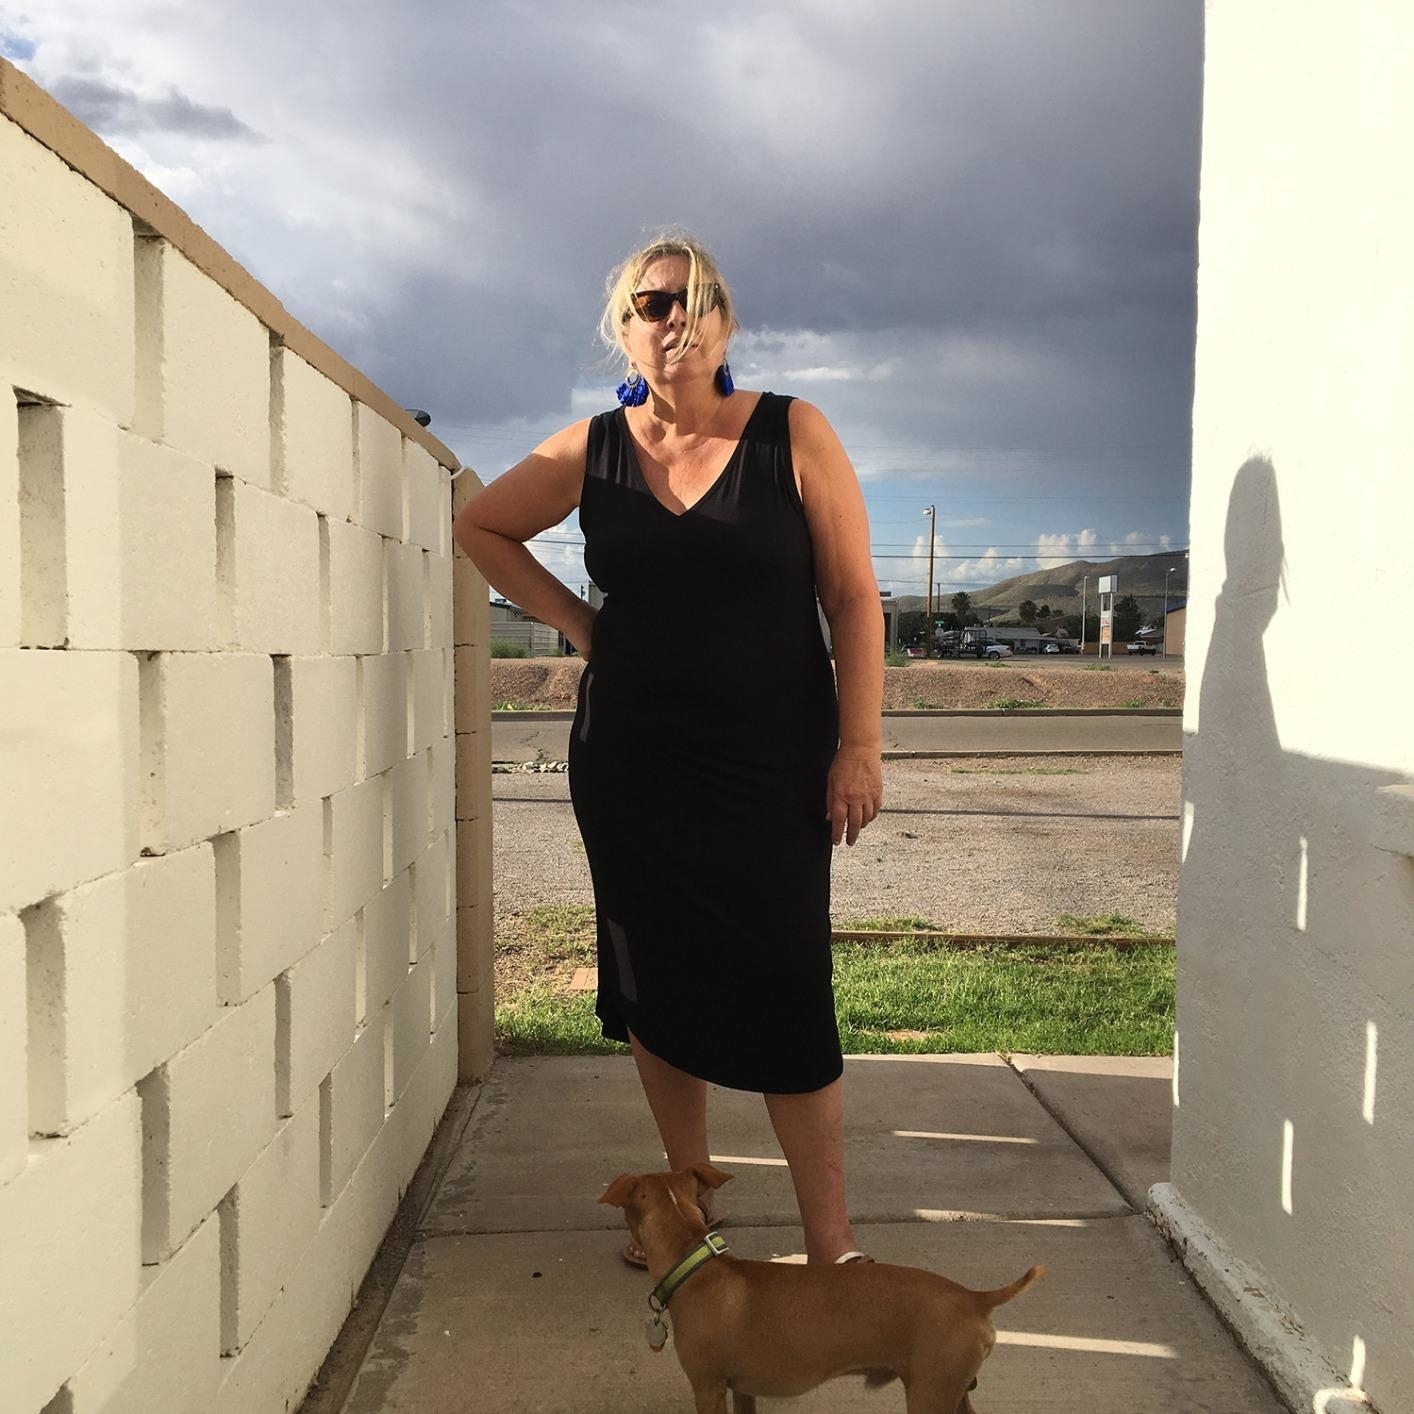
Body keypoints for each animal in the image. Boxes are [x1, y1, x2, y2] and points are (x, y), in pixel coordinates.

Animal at [602, 1165, 1046, 1408]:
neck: (696, 1262)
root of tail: (974, 1299)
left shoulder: (709, 1388)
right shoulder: (743, 1389)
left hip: (931, 1393)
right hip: (955, 1394)